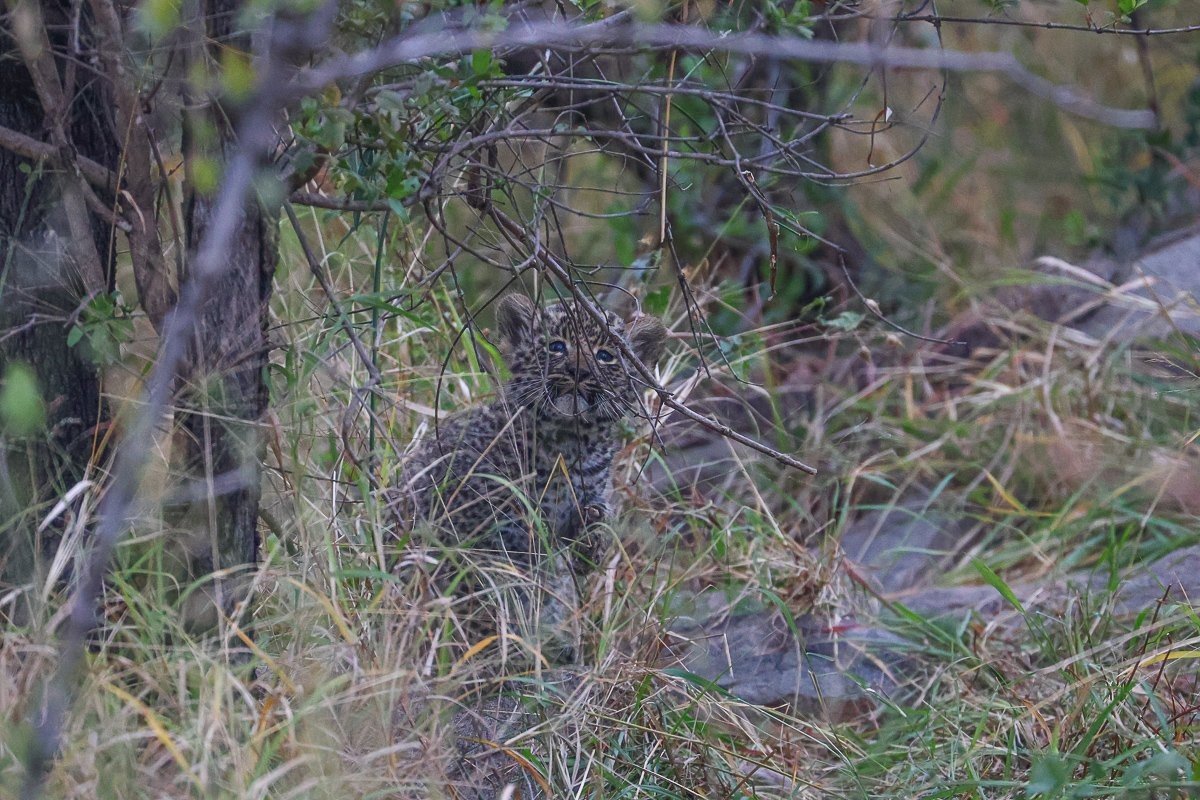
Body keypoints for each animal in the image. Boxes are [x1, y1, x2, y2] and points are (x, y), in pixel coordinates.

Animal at [393, 293, 666, 663]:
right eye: (557, 347)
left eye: (605, 355)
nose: (579, 371)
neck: (570, 441)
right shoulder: (476, 521)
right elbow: (492, 575)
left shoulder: (584, 497)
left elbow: (585, 538)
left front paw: (592, 538)